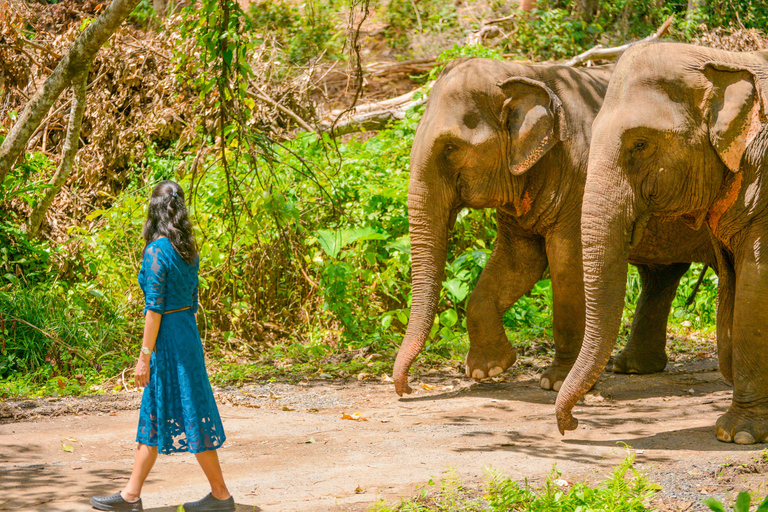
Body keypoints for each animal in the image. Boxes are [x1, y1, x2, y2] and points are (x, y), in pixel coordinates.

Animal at [392, 57, 718, 396]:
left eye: (450, 148)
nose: (406, 390)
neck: (525, 72)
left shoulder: (583, 180)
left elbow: (567, 265)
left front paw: (555, 382)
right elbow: (516, 263)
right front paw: (487, 369)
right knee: (660, 276)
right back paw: (631, 367)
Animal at [556, 42, 768, 445]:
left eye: (640, 144)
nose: (569, 425)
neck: (721, 62)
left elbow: (755, 284)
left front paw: (738, 435)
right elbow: (732, 288)